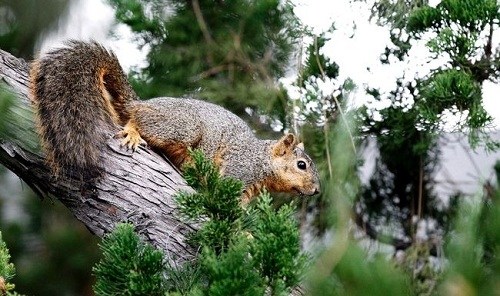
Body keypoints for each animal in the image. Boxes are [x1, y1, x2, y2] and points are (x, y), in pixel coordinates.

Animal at [30, 41, 320, 204]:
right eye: (301, 165)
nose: (317, 191)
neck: (261, 161)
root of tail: (143, 103)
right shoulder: (239, 170)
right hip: (183, 128)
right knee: (138, 120)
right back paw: (133, 131)